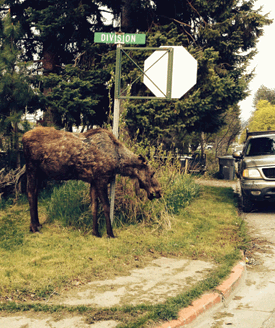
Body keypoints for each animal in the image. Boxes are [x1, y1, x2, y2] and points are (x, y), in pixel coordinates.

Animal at [23, 127, 164, 237]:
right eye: (152, 173)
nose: (159, 192)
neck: (118, 162)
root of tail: (23, 138)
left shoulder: (93, 181)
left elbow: (94, 206)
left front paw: (95, 232)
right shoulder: (101, 179)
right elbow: (106, 206)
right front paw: (110, 233)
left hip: (40, 173)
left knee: (35, 193)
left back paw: (37, 224)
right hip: (32, 168)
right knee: (30, 192)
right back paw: (34, 227)